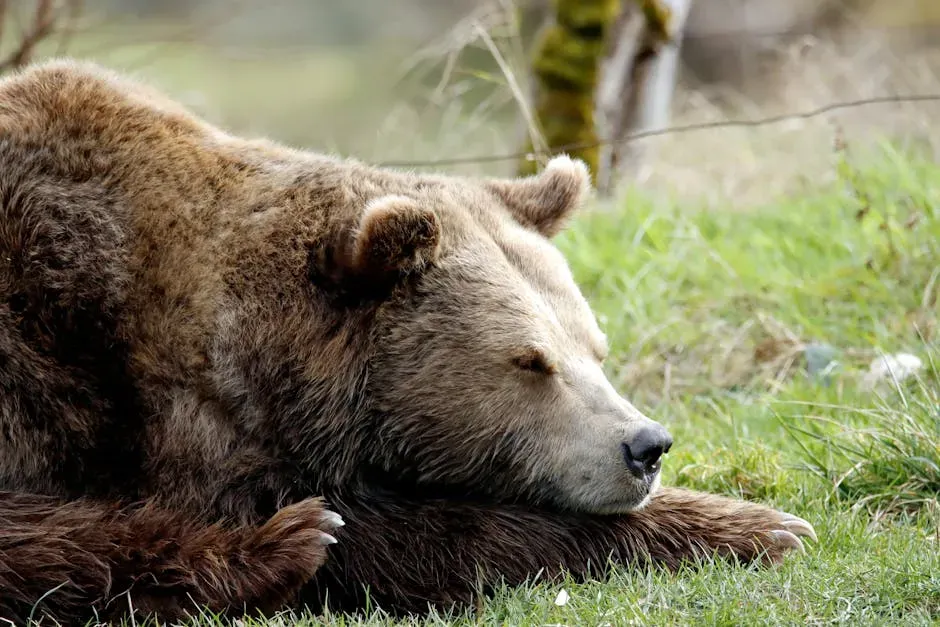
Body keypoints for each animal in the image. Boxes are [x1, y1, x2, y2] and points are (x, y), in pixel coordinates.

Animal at [0, 59, 817, 625]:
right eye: (530, 360)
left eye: (595, 347)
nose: (645, 446)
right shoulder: (136, 402)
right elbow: (411, 532)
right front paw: (763, 526)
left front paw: (762, 520)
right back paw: (284, 543)